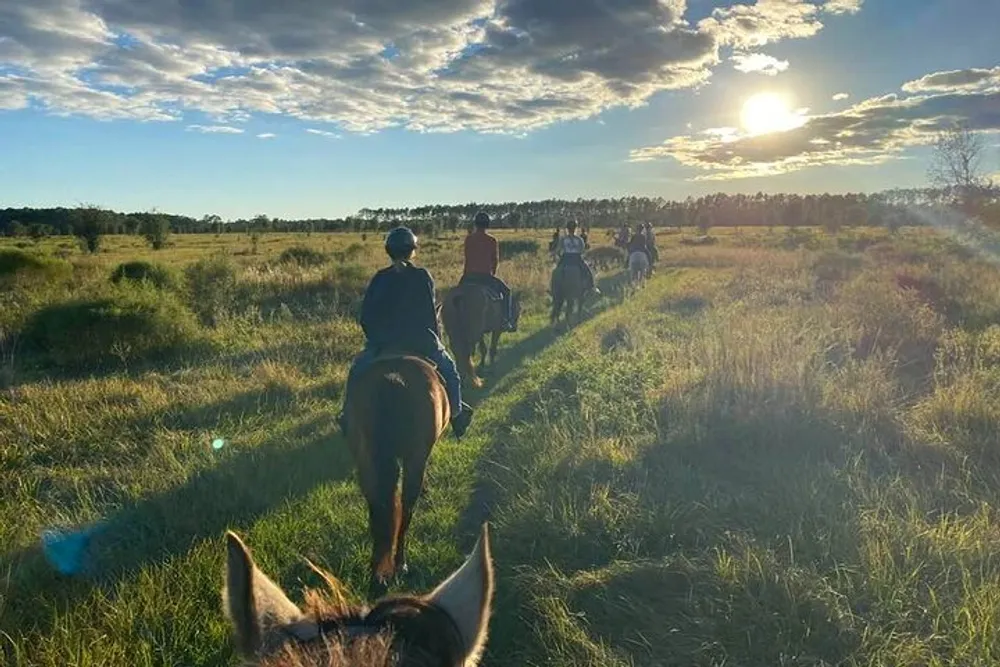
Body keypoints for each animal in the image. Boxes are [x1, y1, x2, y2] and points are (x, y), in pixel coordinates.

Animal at [348, 354, 450, 596]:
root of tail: (393, 380)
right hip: (414, 462)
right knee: (405, 511)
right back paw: (400, 565)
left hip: (366, 464)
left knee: (379, 511)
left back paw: (377, 572)